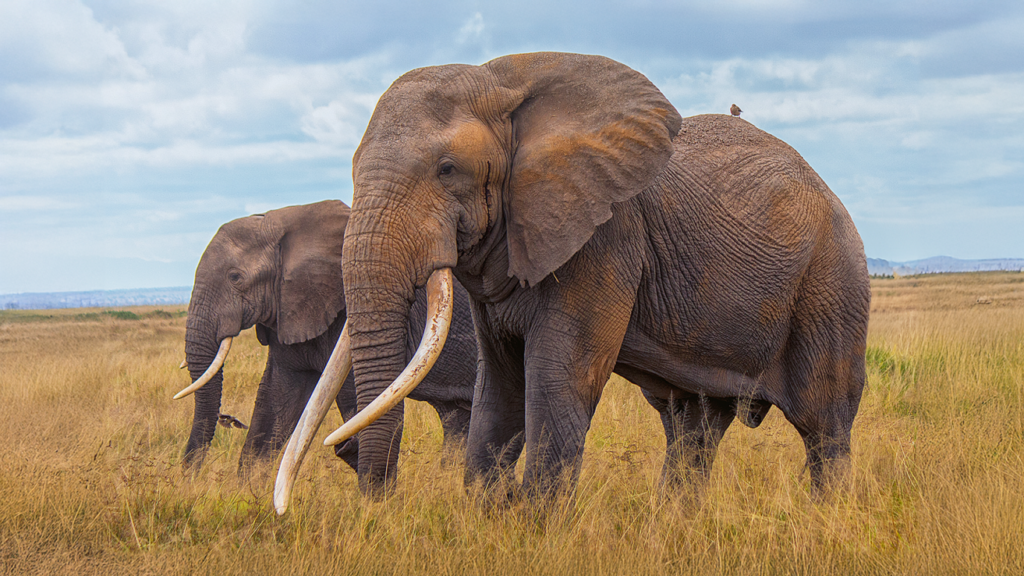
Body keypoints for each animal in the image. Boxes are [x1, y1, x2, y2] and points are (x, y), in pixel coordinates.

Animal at [323, 51, 868, 496]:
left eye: (447, 169)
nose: (380, 500)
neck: (503, 83)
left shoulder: (605, 239)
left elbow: (557, 380)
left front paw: (533, 530)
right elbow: (499, 387)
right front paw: (488, 516)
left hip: (831, 285)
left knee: (825, 427)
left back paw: (828, 516)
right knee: (692, 427)